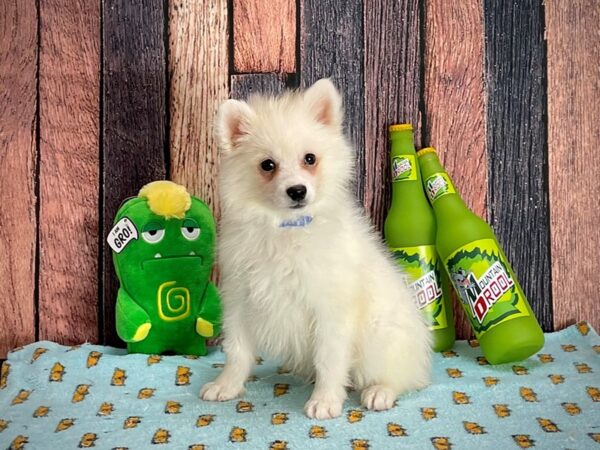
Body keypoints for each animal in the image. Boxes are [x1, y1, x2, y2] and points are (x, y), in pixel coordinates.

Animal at [202, 79, 432, 420]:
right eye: (267, 165)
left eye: (310, 159)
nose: (297, 191)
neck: (287, 228)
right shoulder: (240, 297)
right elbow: (237, 350)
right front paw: (226, 385)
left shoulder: (331, 308)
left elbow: (330, 358)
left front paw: (324, 400)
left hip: (382, 338)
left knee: (401, 375)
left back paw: (379, 391)